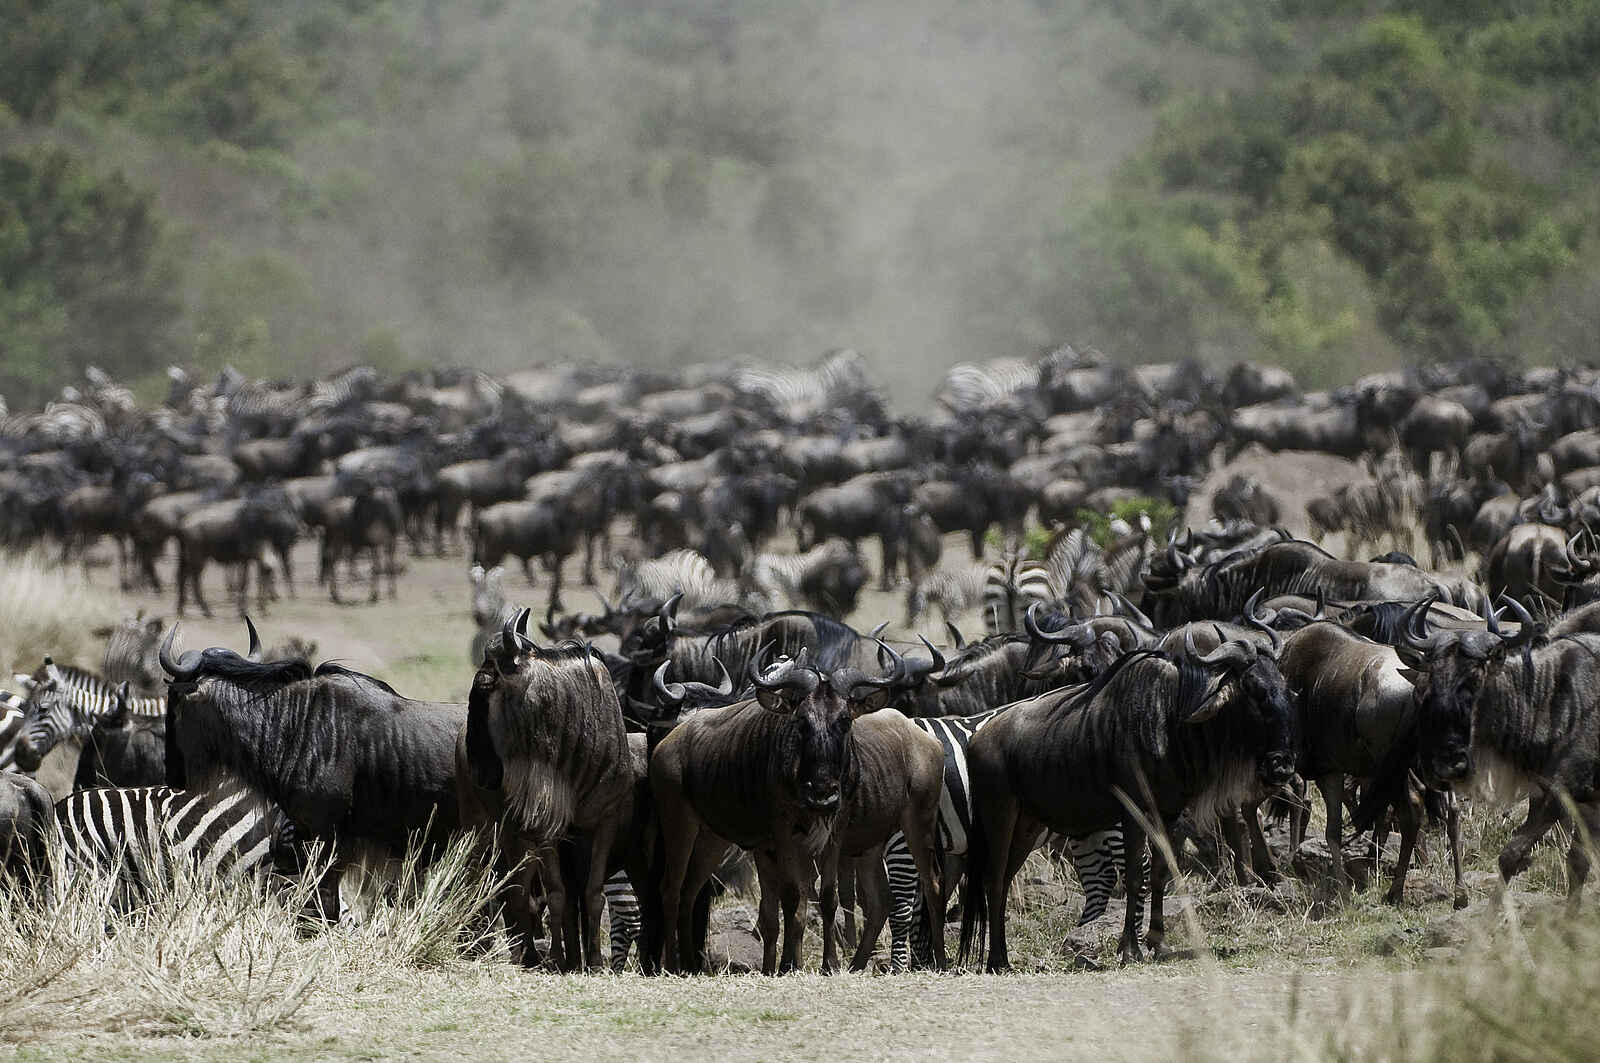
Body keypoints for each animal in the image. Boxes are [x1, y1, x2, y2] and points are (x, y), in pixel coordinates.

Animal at [882, 707, 1142, 970]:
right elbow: (920, 905)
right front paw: (921, 962)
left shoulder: (901, 843)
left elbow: (902, 908)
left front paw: (901, 967)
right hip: (1085, 825)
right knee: (1100, 879)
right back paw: (1086, 936)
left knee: (1135, 871)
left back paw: (1133, 943)